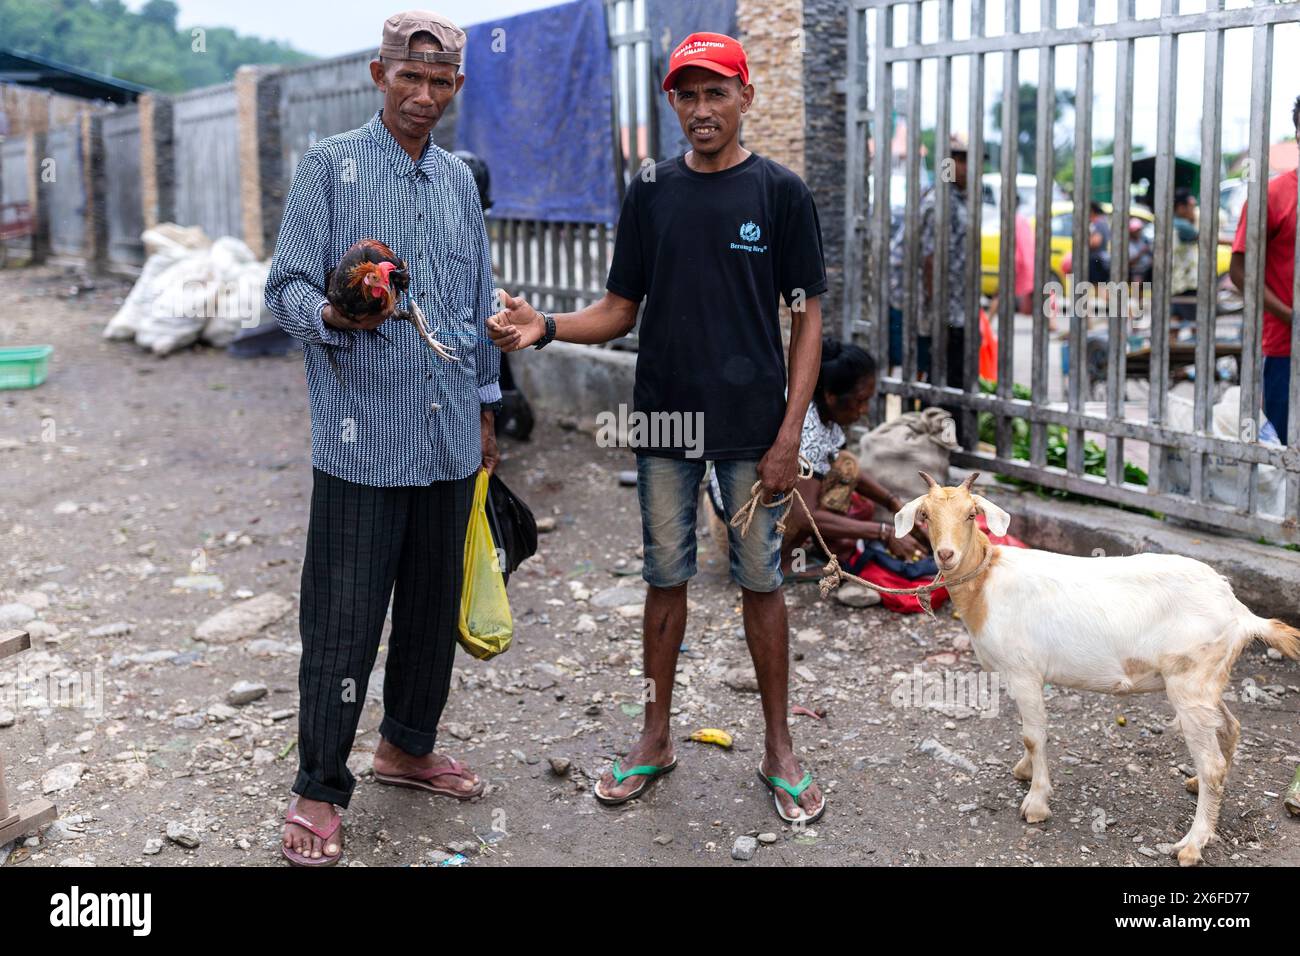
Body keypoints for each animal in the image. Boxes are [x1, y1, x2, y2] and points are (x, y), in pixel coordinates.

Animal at [894, 470, 1300, 868]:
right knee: (1229, 728)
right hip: (1206, 679)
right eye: (925, 515)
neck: (985, 584)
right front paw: (1024, 770)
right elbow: (1026, 732)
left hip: (1190, 681)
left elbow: (1033, 736)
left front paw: (1036, 803)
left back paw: (1192, 844)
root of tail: (1239, 612)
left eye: (970, 514)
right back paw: (1200, 788)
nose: (946, 554)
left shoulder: (1024, 671)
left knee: (1211, 762)